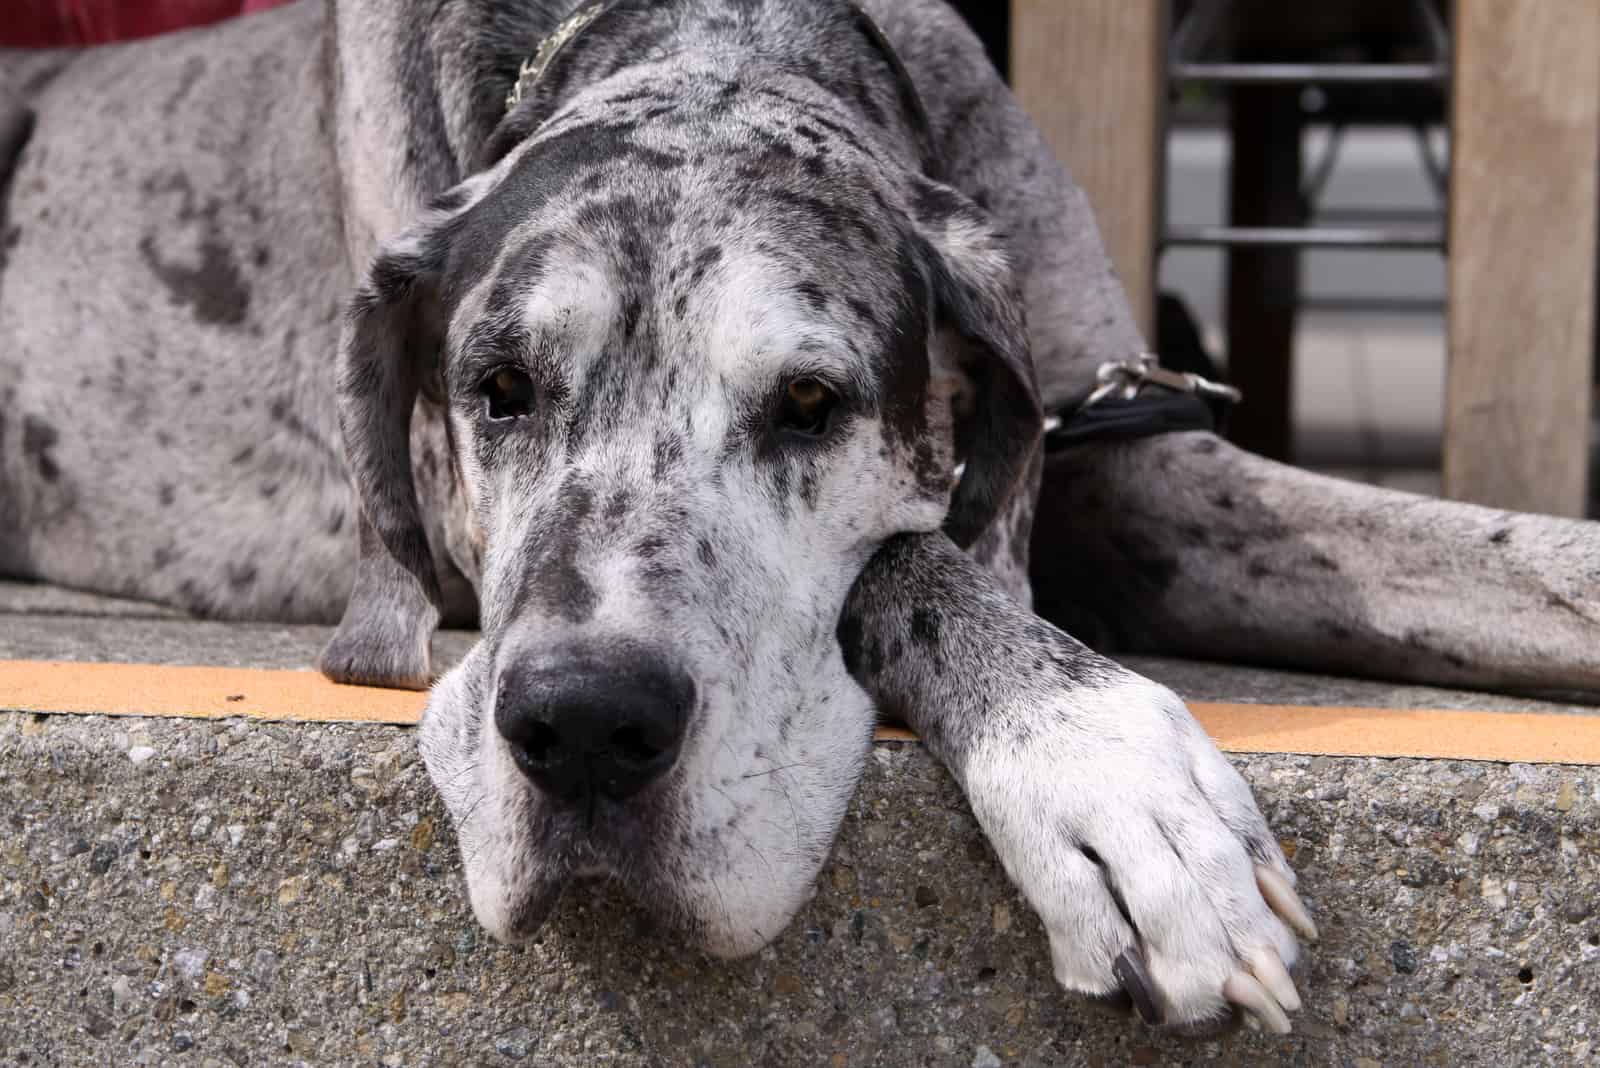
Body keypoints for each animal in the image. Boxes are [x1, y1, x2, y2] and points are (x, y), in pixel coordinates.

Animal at [3, 0, 1600, 1036]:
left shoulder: (1132, 457)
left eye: (812, 403)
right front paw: (1109, 779)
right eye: (499, 389)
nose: (587, 729)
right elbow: (914, 559)